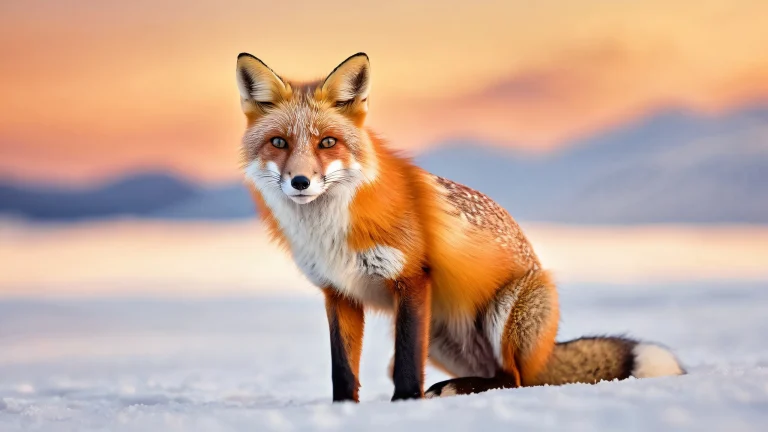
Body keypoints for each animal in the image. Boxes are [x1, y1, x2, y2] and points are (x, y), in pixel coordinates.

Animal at [235, 52, 685, 402]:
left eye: (327, 142)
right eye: (279, 142)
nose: (300, 182)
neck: (329, 230)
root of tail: (545, 350)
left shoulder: (412, 278)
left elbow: (406, 365)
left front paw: (405, 404)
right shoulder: (339, 292)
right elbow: (343, 368)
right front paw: (344, 409)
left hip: (505, 314)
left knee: (514, 380)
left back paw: (453, 389)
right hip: (439, 332)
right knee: (496, 375)